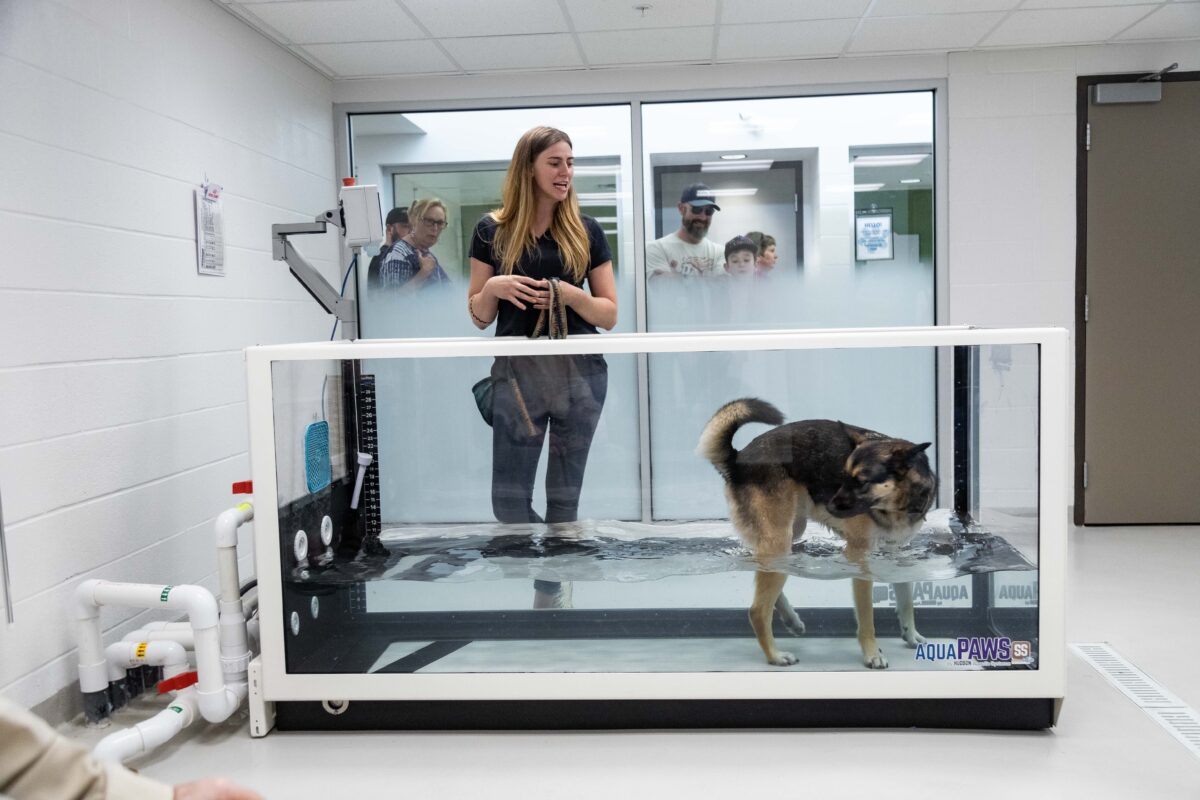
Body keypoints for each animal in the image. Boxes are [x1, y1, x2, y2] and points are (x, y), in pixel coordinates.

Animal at [700, 400, 936, 671]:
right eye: (843, 476)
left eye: (862, 482)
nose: (829, 505)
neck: (898, 503)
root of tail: (737, 459)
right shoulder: (858, 557)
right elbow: (867, 618)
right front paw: (872, 653)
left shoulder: (895, 553)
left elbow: (907, 601)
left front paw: (911, 635)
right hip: (779, 540)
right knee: (757, 610)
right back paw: (775, 655)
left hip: (789, 533)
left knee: (758, 569)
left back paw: (791, 619)